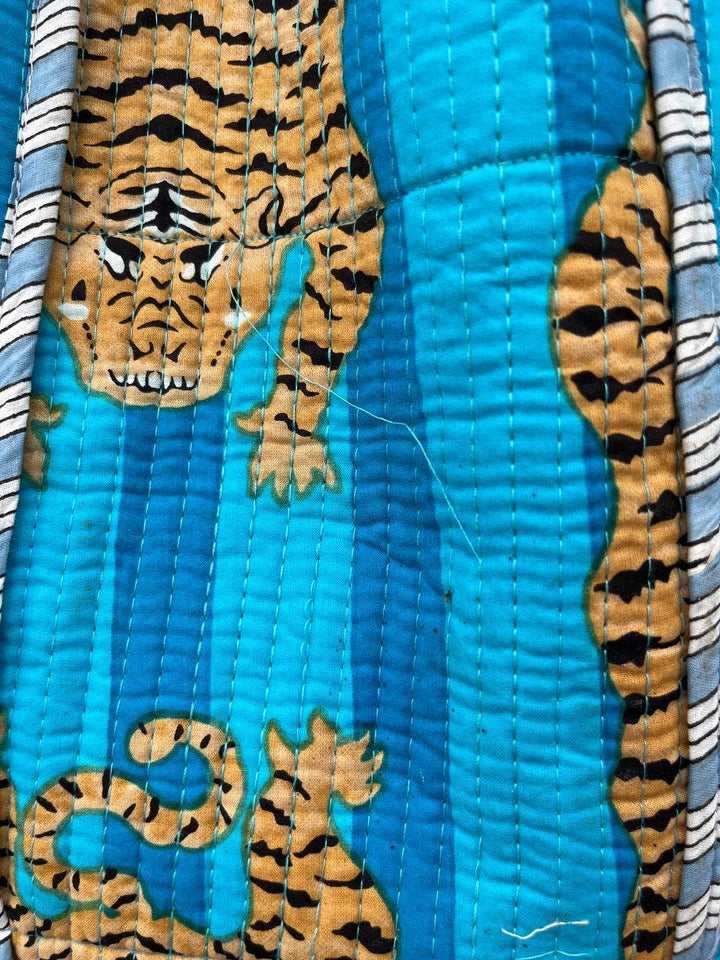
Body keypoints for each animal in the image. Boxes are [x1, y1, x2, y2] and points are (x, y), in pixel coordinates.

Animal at [43, 0, 383, 502]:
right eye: (118, 254)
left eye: (204, 263)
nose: (156, 351)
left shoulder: (349, 203)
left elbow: (322, 333)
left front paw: (287, 443)